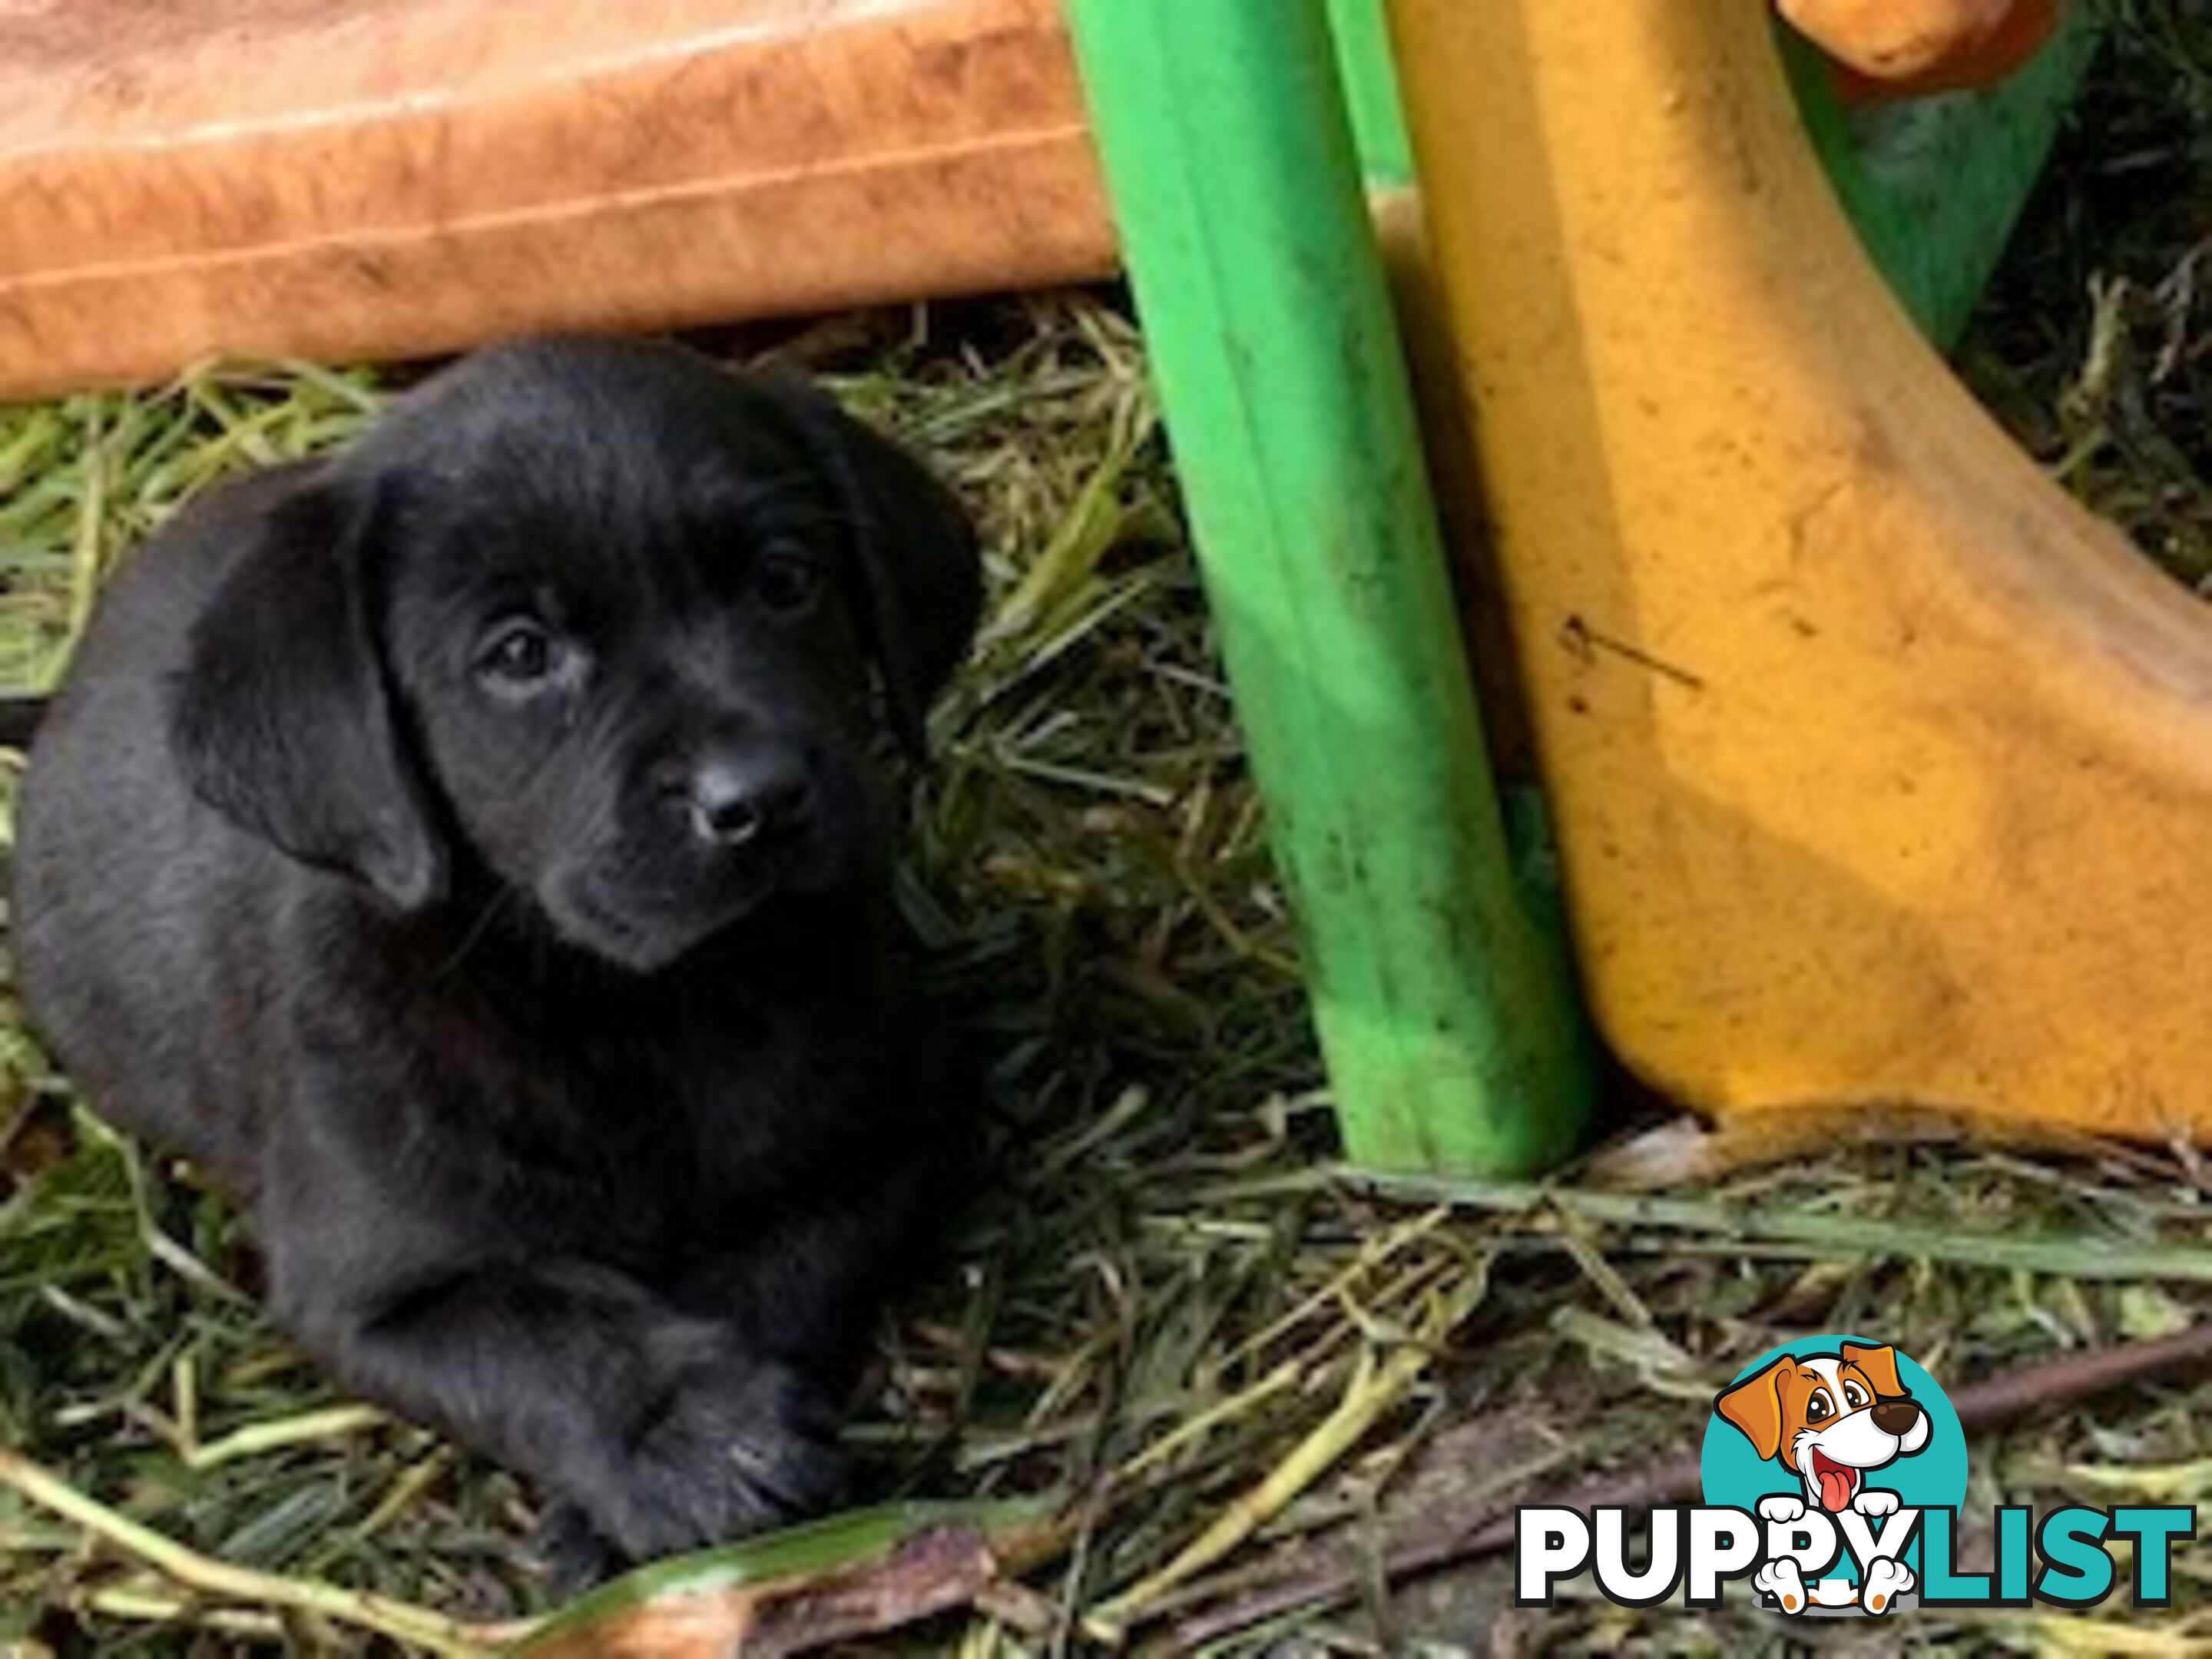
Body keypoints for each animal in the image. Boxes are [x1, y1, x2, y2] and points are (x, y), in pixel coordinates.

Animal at [8, 338, 977, 1575]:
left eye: (785, 580)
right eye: (520, 655)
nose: (756, 798)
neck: (638, 1007)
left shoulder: (893, 1131)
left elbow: (781, 1265)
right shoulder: (378, 1290)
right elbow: (544, 1336)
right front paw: (690, 1440)